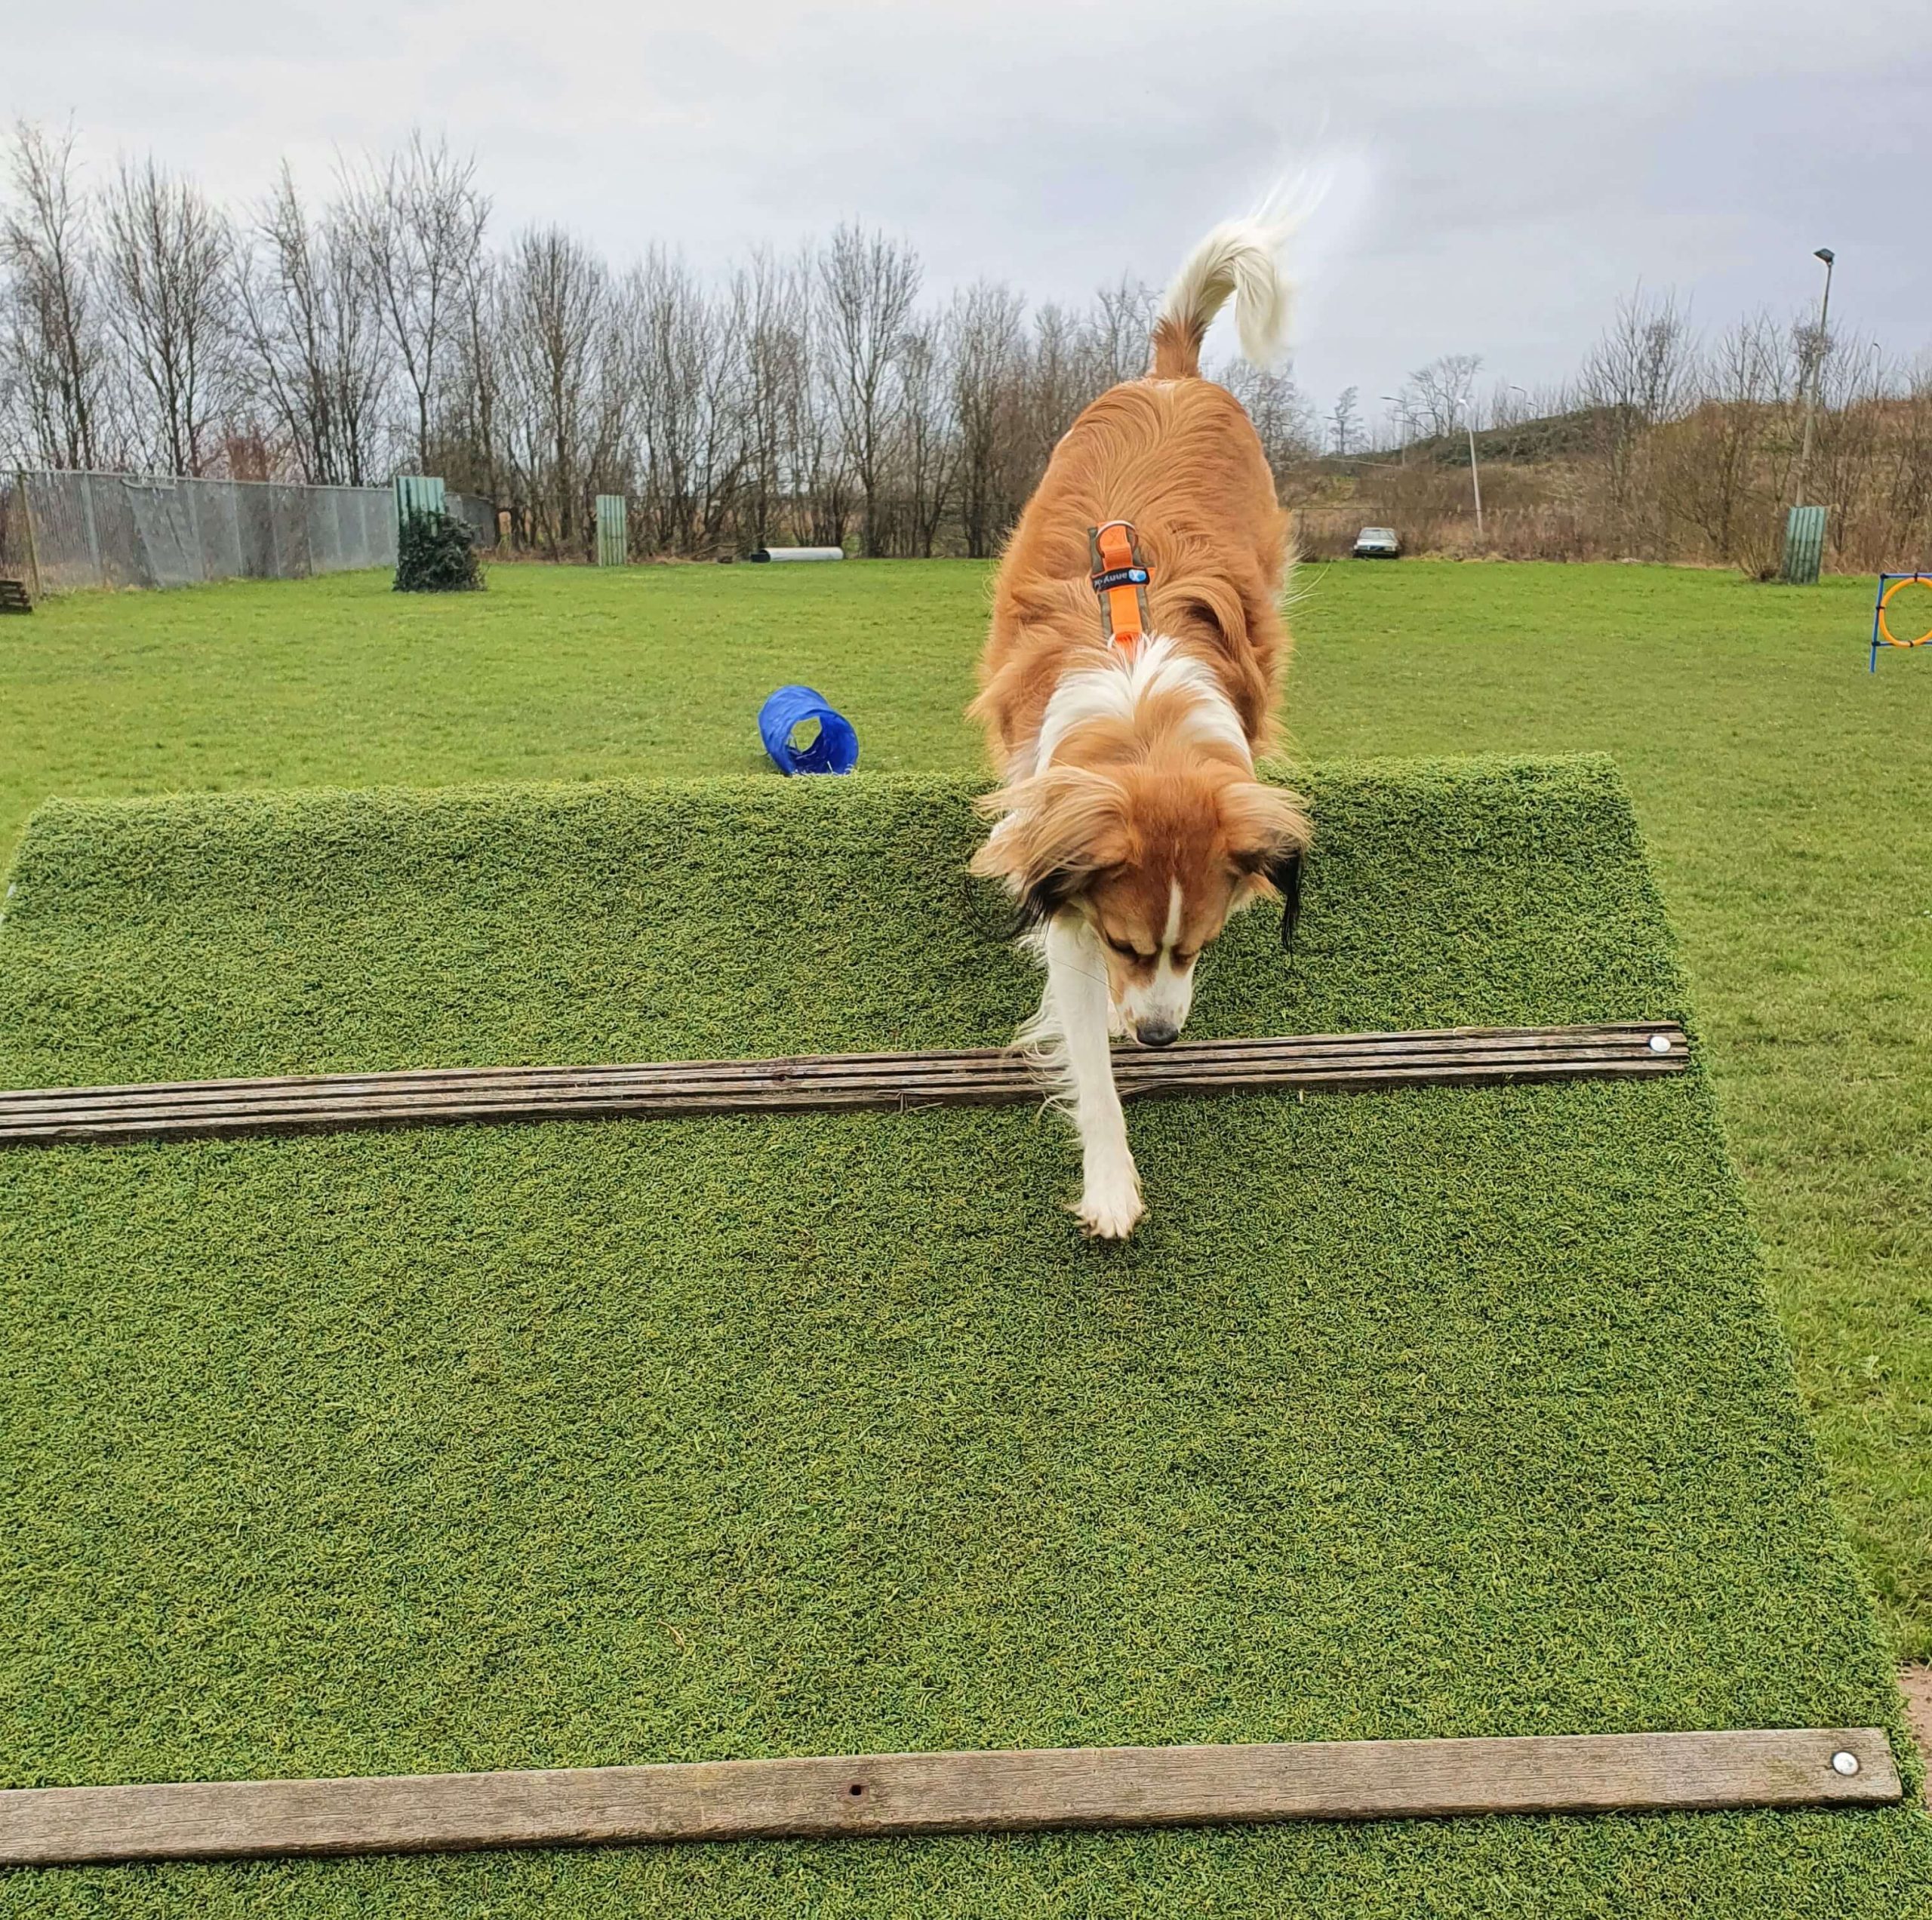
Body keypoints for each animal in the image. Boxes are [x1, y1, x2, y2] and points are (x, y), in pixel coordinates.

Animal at [966, 198, 1313, 1244]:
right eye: (1124, 946)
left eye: (1200, 946)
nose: (1159, 1035)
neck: (1137, 689)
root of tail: (1173, 373)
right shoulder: (1066, 889)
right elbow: (1085, 1056)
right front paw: (1111, 1179)